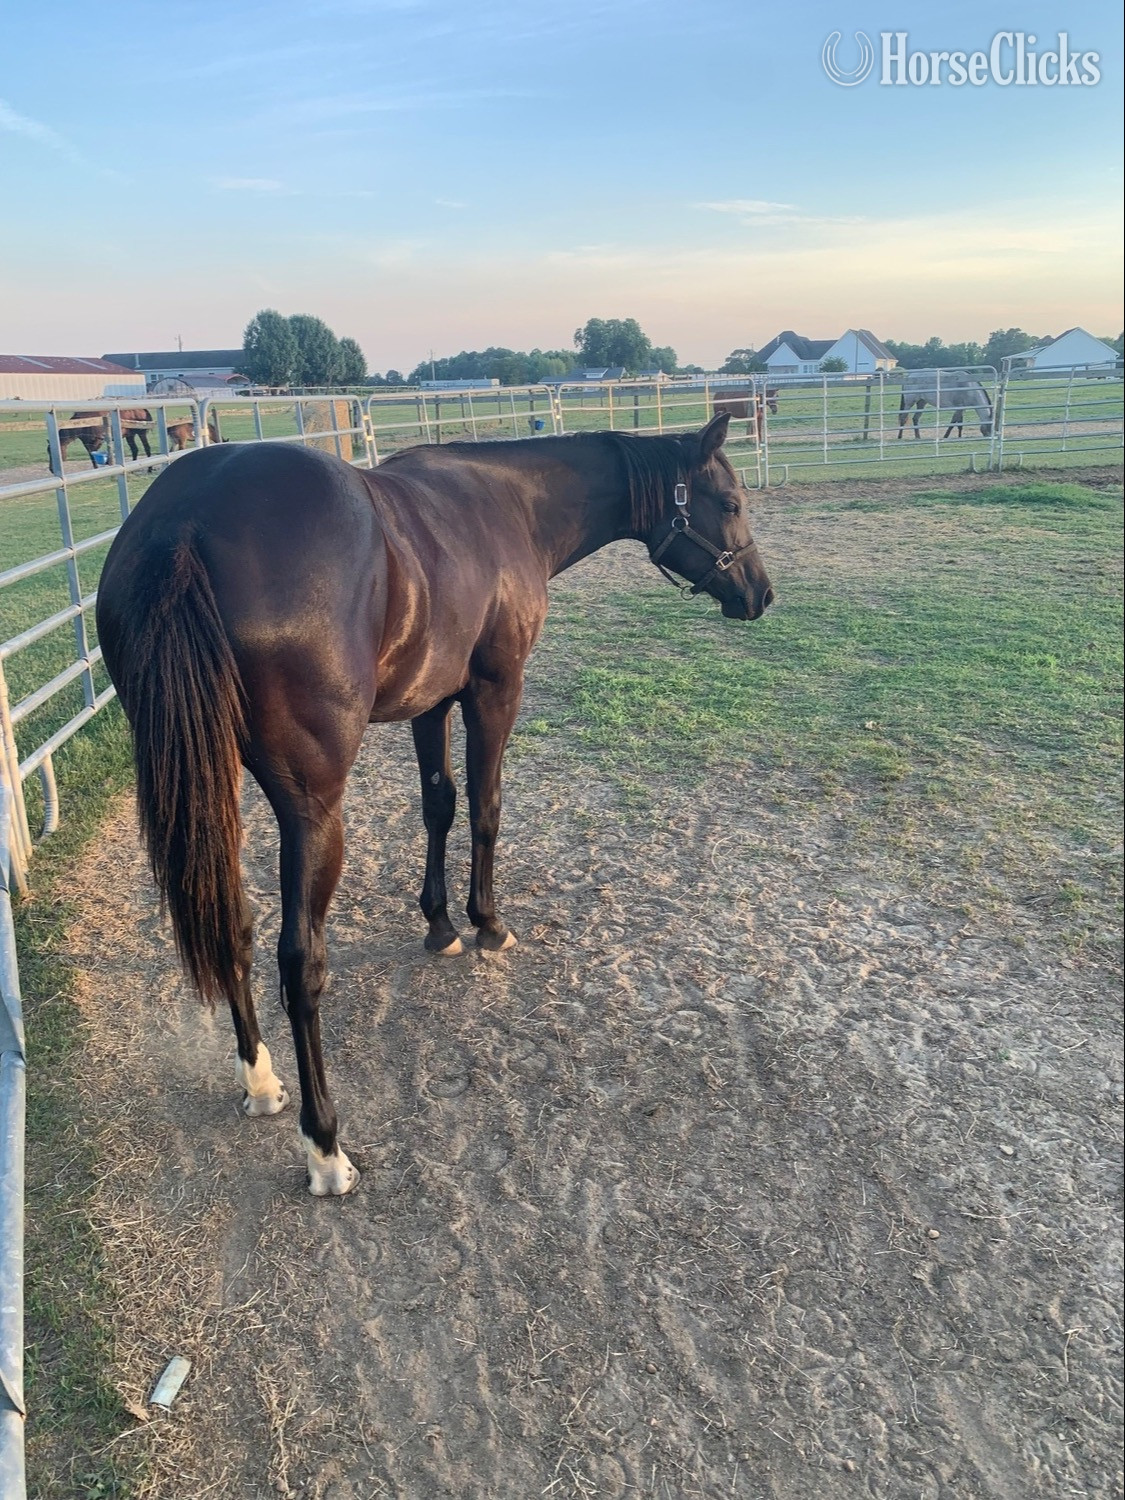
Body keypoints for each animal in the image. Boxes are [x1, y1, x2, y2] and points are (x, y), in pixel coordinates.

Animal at [95, 414, 773, 1196]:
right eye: (730, 503)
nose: (760, 593)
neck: (511, 503)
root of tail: (185, 524)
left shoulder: (431, 699)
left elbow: (439, 804)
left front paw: (440, 922)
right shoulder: (493, 690)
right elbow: (485, 805)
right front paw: (486, 923)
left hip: (211, 791)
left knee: (231, 924)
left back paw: (261, 1082)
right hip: (311, 809)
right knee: (299, 963)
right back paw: (324, 1146)